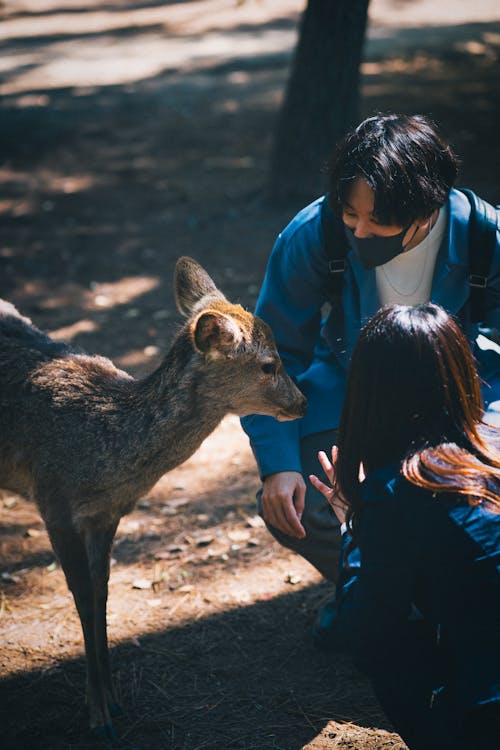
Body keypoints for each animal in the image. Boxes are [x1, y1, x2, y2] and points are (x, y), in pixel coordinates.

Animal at [0, 258, 304, 740]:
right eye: (269, 364)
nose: (303, 402)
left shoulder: (106, 514)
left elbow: (102, 592)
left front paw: (113, 700)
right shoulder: (53, 499)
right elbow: (81, 595)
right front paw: (97, 715)